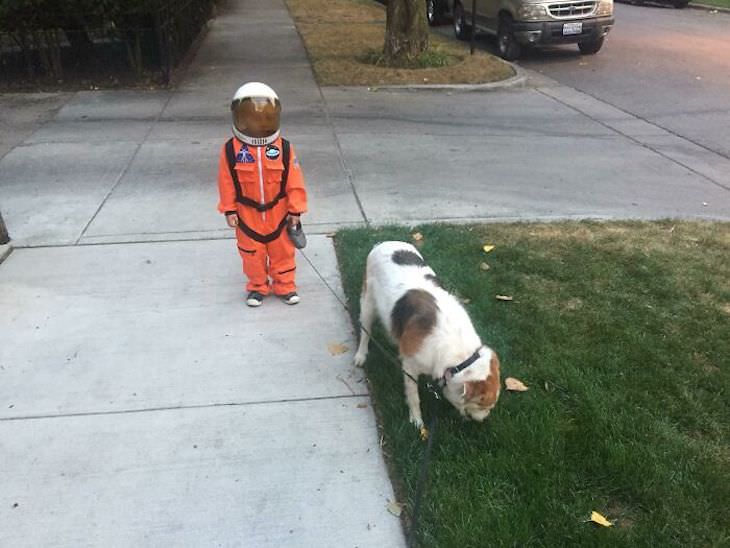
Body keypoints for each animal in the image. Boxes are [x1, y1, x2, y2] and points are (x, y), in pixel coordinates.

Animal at [352, 242, 500, 430]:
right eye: (482, 405)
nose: (484, 420)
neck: (461, 358)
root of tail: (382, 243)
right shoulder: (410, 367)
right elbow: (414, 397)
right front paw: (417, 421)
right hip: (368, 304)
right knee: (365, 331)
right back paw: (361, 355)